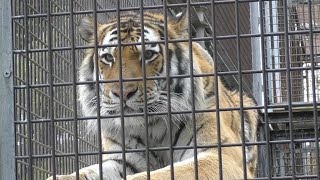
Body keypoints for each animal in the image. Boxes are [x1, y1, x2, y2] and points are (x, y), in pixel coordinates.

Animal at [47, 11, 258, 180]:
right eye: (108, 58)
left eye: (148, 55)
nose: (122, 92)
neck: (152, 129)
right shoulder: (123, 160)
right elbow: (86, 171)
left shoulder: (220, 154)